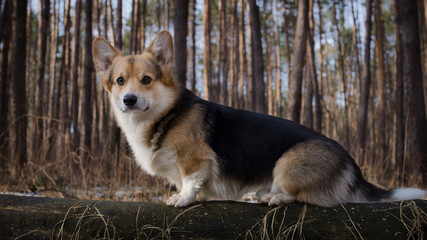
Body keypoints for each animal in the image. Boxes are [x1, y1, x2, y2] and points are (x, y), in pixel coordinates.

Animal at [92, 30, 426, 206]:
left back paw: (273, 197)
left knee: (301, 195)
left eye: (147, 80)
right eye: (120, 81)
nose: (129, 100)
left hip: (288, 163)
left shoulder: (195, 160)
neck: (166, 114)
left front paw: (182, 199)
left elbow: (189, 181)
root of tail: (353, 166)